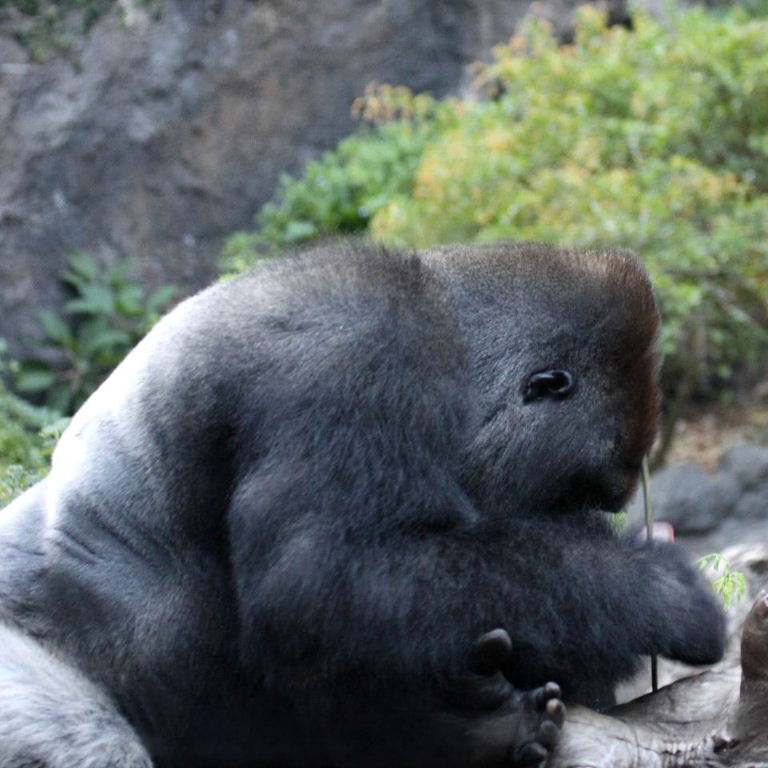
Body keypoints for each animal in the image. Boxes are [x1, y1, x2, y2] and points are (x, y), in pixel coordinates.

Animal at [0, 242, 725, 767]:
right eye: (569, 498)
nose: (595, 525)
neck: (449, 335)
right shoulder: (359, 349)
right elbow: (322, 582)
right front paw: (653, 590)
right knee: (96, 741)